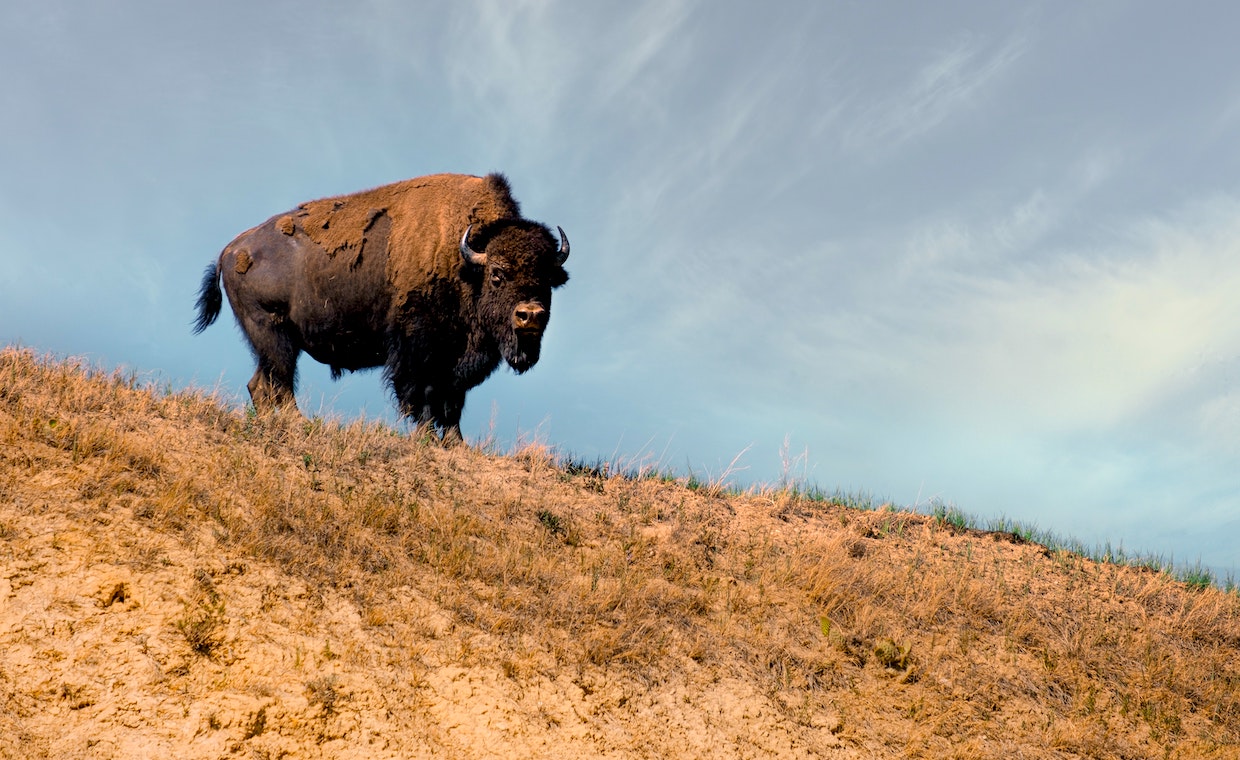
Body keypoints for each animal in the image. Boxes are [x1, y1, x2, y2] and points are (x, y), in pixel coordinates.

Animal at [193, 173, 570, 443]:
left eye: (548, 278)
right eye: (497, 274)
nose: (530, 316)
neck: (466, 262)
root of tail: (231, 249)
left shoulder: (455, 361)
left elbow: (452, 402)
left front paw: (456, 444)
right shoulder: (418, 349)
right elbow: (423, 395)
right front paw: (426, 437)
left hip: (272, 342)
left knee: (262, 383)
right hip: (274, 334)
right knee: (281, 382)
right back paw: (299, 423)